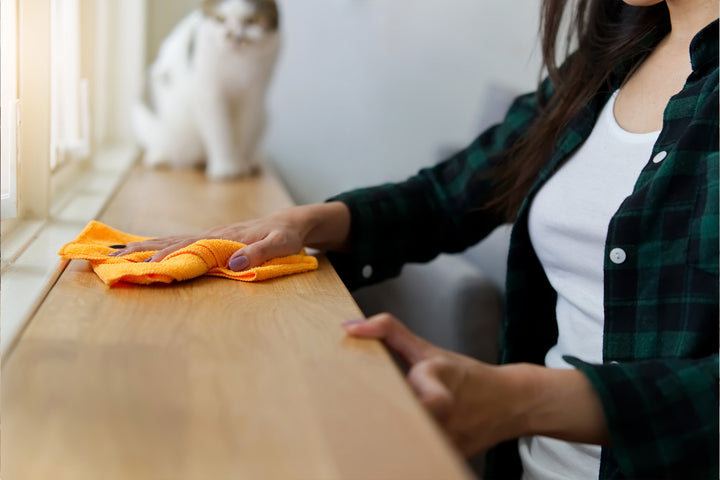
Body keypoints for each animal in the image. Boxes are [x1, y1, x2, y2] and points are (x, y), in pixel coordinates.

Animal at [134, 0, 280, 180]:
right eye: (220, 19)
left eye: (251, 21)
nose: (234, 36)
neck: (238, 63)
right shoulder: (209, 92)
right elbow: (219, 131)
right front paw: (226, 168)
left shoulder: (255, 92)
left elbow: (242, 132)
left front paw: (239, 165)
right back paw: (159, 157)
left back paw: (250, 161)